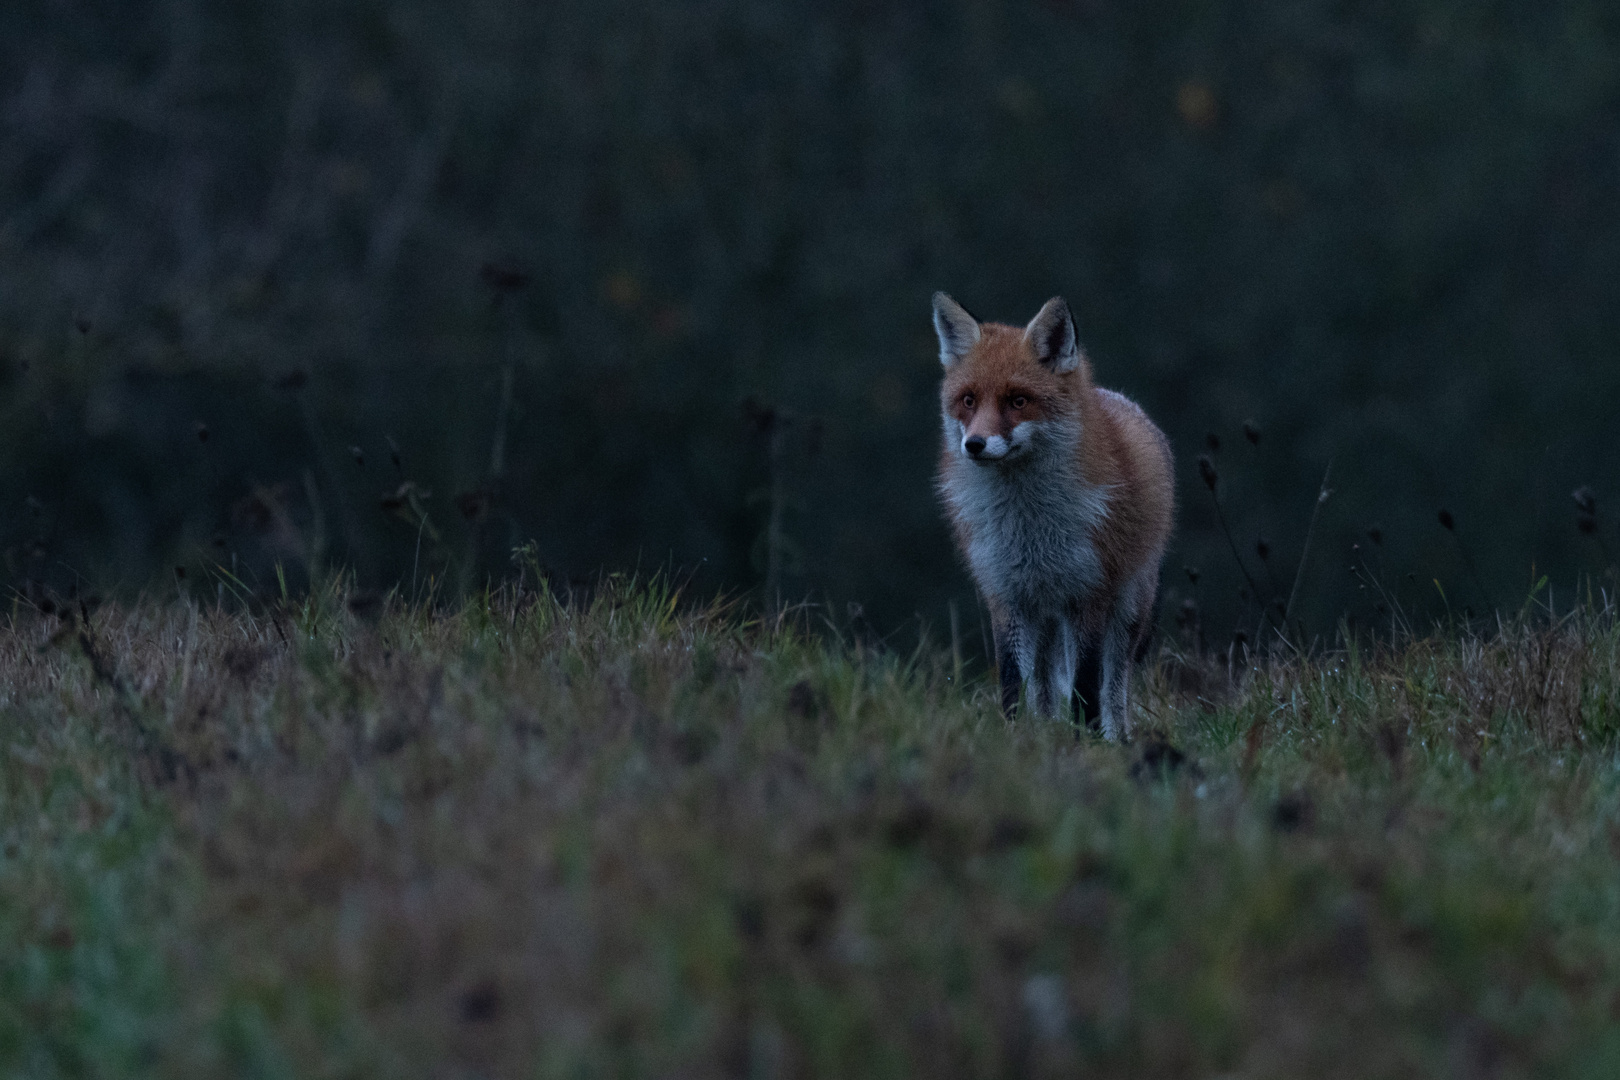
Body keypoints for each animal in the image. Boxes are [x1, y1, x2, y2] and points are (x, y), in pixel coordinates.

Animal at [933, 291, 1172, 738]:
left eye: (1018, 400)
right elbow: (1013, 682)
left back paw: (1119, 737)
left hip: (1130, 606)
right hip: (1043, 616)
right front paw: (1013, 737)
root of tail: (1118, 398)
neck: (1029, 527)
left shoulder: (1089, 594)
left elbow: (1086, 685)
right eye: (969, 400)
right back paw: (1046, 729)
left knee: (1116, 684)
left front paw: (1088, 742)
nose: (974, 444)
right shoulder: (1006, 595)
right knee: (1044, 684)